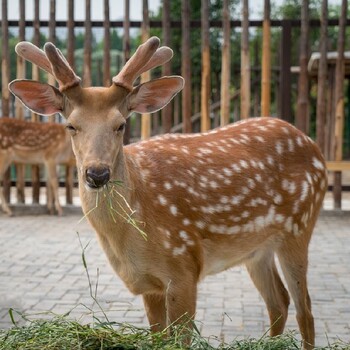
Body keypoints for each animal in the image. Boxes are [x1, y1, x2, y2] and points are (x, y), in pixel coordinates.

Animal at [8, 37, 328, 348]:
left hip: (299, 227)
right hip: (257, 250)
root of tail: (313, 146)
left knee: (306, 309)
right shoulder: (149, 284)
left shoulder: (184, 267)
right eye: (71, 125)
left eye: (120, 124)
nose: (97, 173)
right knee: (279, 303)